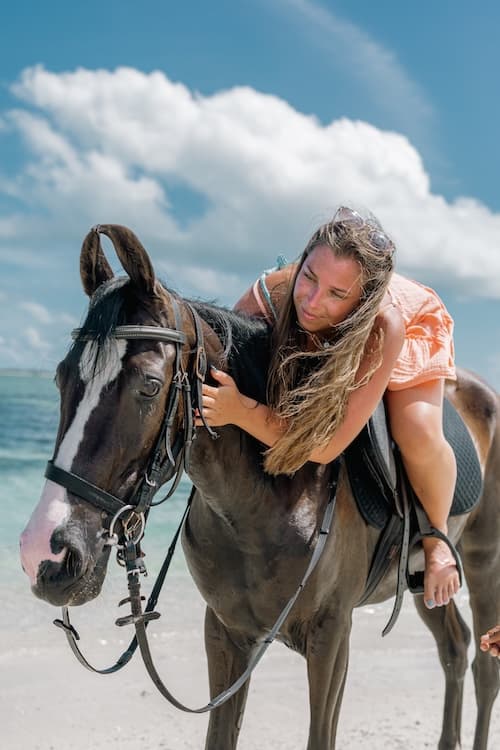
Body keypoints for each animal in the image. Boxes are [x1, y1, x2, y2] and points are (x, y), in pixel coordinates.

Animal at [20, 224, 500, 749]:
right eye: (61, 378)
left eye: (149, 385)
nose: (44, 553)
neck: (260, 505)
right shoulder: (226, 631)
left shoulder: (332, 635)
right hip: (421, 586)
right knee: (455, 646)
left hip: (483, 562)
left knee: (485, 663)